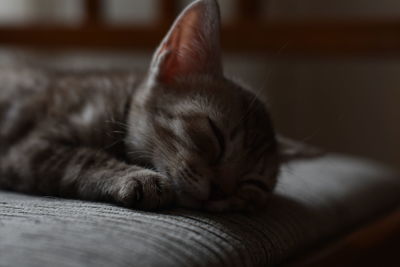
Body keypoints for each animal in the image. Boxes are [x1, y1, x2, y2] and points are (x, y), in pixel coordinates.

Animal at [0, 0, 312, 214]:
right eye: (215, 136)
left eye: (254, 183)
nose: (220, 192)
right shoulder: (28, 149)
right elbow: (81, 160)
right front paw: (138, 178)